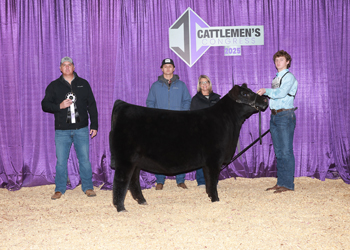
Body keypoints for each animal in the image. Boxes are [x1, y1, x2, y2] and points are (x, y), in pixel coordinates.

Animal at [109, 83, 268, 211]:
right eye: (245, 94)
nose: (265, 99)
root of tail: (123, 105)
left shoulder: (208, 162)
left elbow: (209, 181)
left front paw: (209, 196)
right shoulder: (214, 159)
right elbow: (213, 180)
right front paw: (216, 200)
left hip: (135, 161)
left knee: (133, 181)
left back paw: (142, 201)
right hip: (125, 159)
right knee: (120, 181)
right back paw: (121, 208)